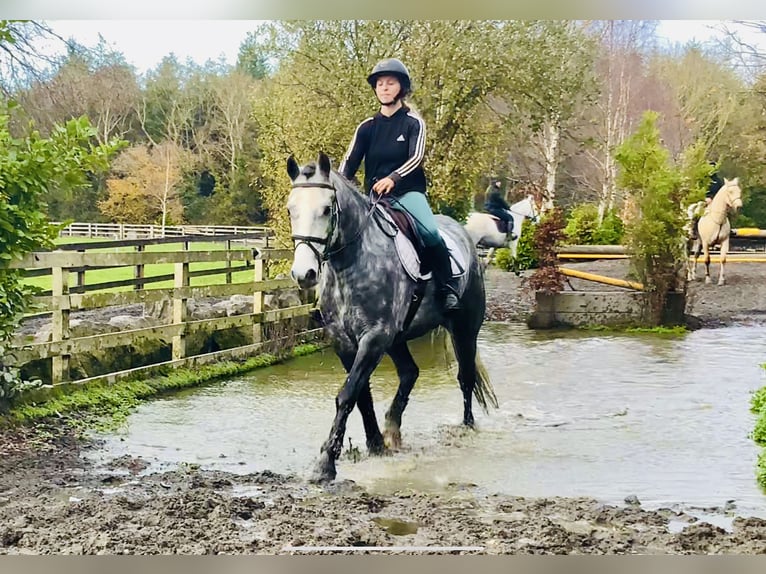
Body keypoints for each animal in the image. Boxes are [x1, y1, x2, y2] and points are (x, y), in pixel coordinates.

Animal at [286, 153, 498, 483]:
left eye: (326, 209)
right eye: (290, 210)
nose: (303, 274)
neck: (351, 264)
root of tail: (465, 234)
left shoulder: (374, 338)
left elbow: (347, 394)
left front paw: (326, 464)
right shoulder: (345, 342)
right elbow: (361, 396)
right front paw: (375, 445)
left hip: (464, 330)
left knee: (465, 378)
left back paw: (466, 428)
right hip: (397, 339)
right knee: (410, 372)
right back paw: (392, 430)